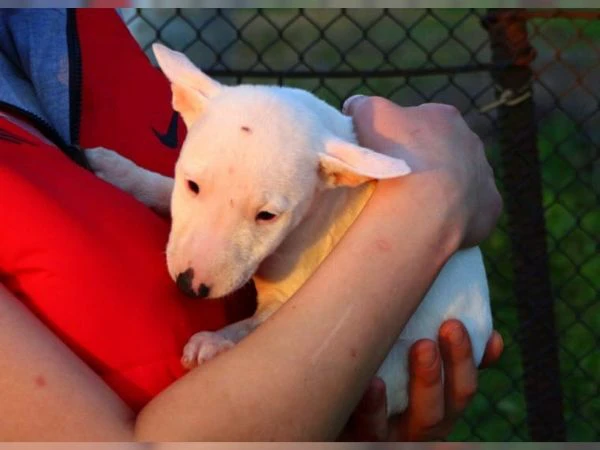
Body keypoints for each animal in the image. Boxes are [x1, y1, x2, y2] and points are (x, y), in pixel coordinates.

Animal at [89, 43, 492, 414]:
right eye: (192, 185)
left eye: (267, 216)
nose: (191, 286)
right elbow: (159, 187)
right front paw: (117, 170)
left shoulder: (291, 300)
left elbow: (256, 325)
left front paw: (214, 342)